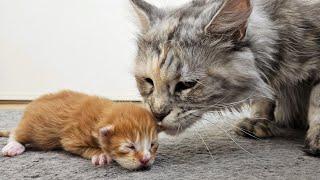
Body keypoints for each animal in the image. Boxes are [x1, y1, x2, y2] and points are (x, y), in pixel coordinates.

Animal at [0, 90, 159, 170]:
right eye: (130, 146)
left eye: (152, 145)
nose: (146, 159)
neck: (102, 113)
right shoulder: (73, 138)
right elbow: (78, 146)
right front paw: (100, 154)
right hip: (33, 127)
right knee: (16, 133)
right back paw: (13, 146)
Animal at [130, 0, 320, 155]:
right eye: (149, 81)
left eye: (187, 84)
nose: (157, 114)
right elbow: (264, 97)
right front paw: (258, 119)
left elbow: (316, 102)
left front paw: (316, 135)